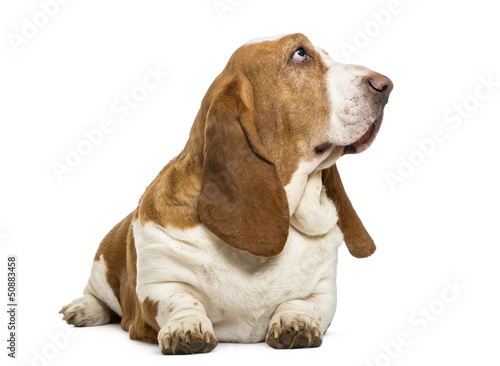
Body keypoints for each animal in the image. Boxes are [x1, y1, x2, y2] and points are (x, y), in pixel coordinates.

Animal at [60, 33, 392, 354]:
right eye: (300, 54)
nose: (386, 85)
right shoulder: (157, 287)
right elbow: (182, 300)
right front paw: (186, 327)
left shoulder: (325, 290)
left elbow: (302, 302)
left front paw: (296, 321)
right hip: (103, 260)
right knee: (97, 295)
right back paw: (83, 309)